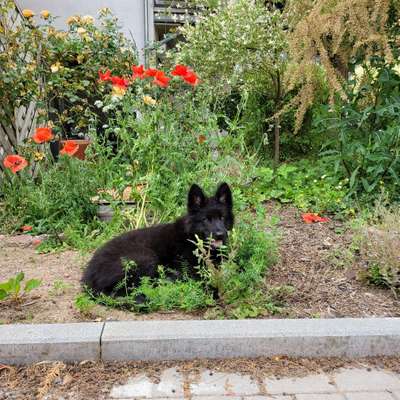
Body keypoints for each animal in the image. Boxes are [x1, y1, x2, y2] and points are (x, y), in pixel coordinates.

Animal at [81, 183, 234, 296]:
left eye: (222, 217)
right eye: (206, 220)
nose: (220, 234)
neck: (192, 237)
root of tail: (88, 276)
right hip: (146, 257)